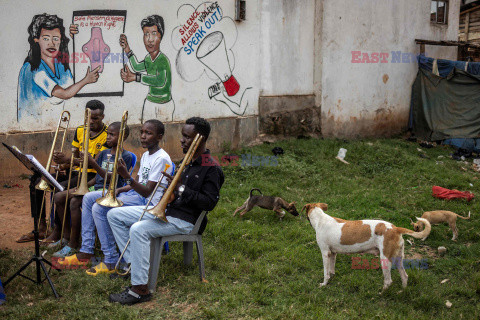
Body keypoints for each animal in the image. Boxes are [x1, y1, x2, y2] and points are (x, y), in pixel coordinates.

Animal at [304, 204, 436, 292]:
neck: (321, 220)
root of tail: (395, 228)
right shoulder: (333, 254)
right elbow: (331, 271)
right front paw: (332, 278)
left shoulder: (325, 253)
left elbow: (326, 273)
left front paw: (324, 284)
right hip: (398, 259)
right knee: (404, 276)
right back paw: (402, 291)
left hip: (385, 259)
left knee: (388, 281)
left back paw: (382, 293)